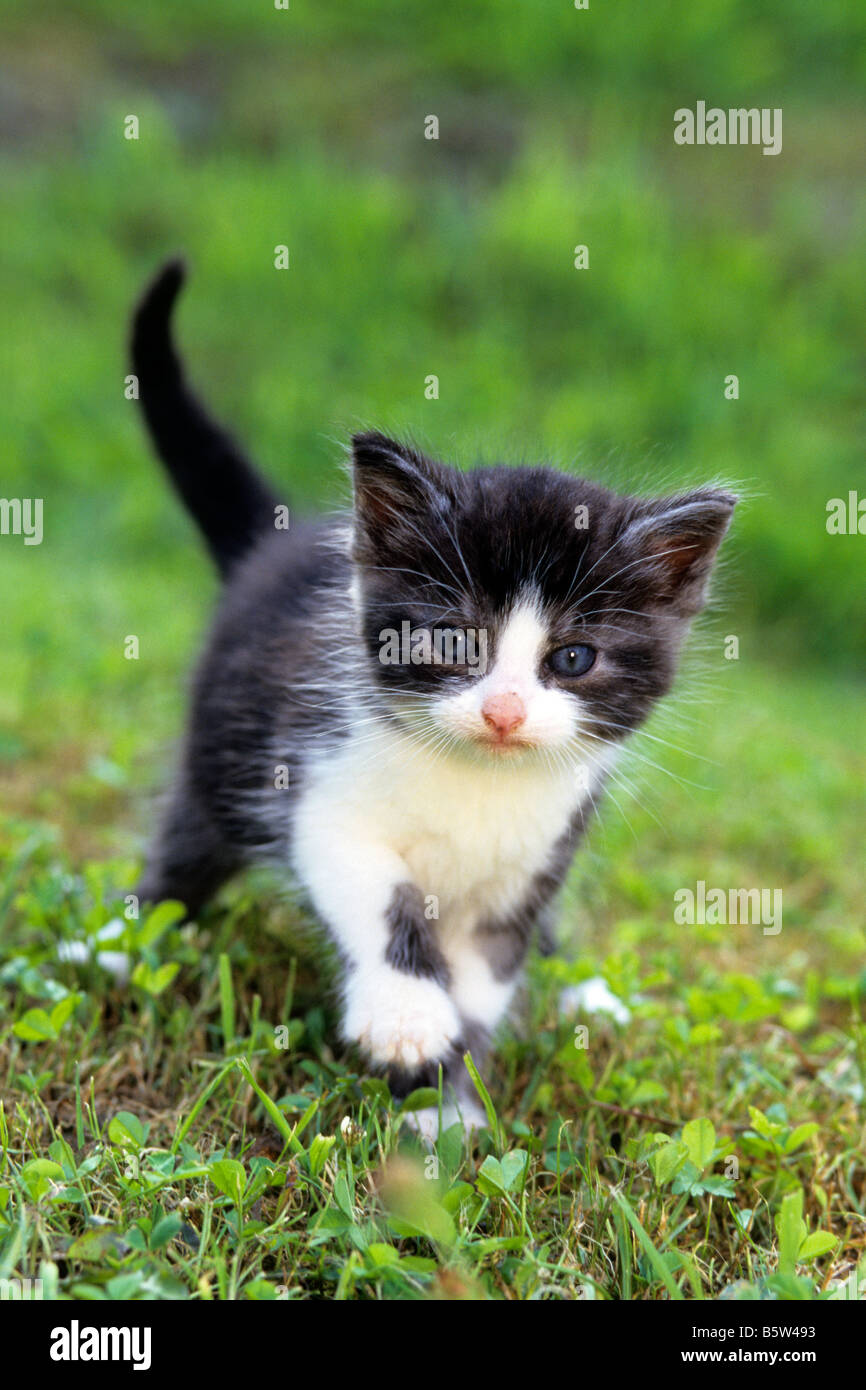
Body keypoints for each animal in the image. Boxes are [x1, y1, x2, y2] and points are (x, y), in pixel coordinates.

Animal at [128, 258, 739, 1128]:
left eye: (573, 657)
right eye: (454, 641)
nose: (504, 711)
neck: (478, 784)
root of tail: (276, 545)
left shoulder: (532, 863)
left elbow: (485, 981)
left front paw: (444, 1105)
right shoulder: (319, 791)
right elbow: (384, 897)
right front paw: (409, 1019)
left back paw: (584, 992)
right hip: (226, 749)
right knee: (184, 849)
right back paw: (120, 943)